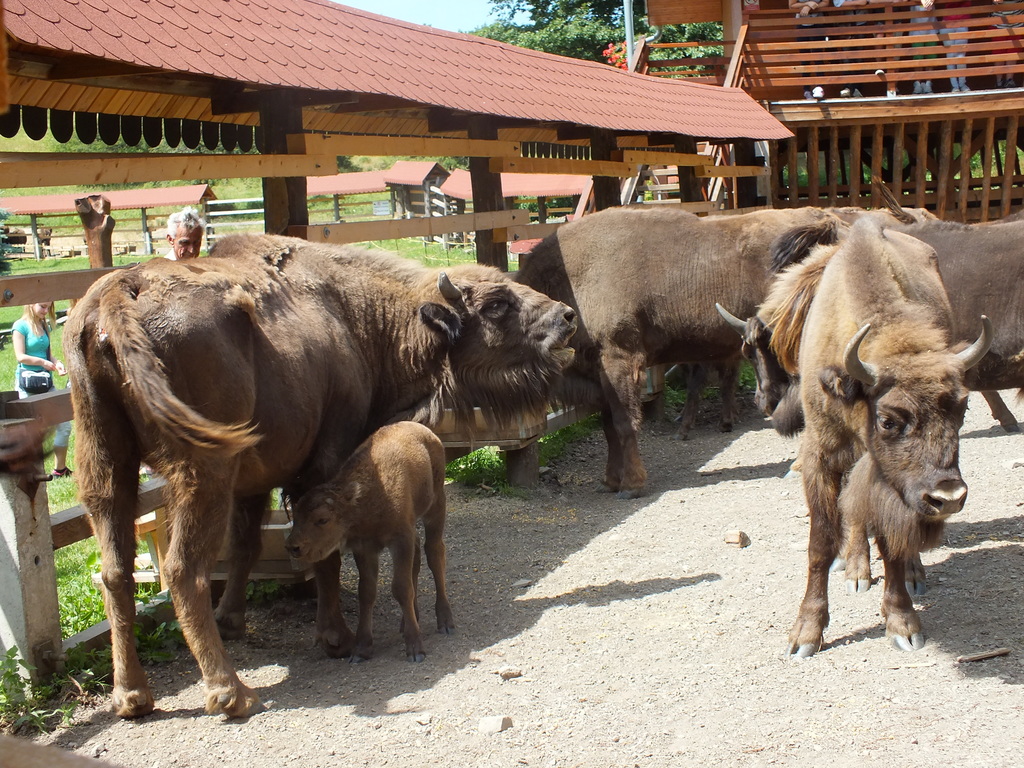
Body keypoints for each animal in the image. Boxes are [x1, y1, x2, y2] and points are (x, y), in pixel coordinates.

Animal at [286, 417, 450, 663]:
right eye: (295, 515)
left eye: (322, 519)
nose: (293, 546)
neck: (361, 499)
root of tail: (428, 433)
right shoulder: (365, 549)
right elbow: (366, 592)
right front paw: (361, 649)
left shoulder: (399, 539)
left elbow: (401, 588)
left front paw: (415, 649)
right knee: (418, 559)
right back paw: (408, 621)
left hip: (436, 504)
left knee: (434, 553)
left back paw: (446, 621)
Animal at [516, 204, 835, 499]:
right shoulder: (599, 373)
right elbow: (609, 427)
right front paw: (610, 482)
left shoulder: (619, 359)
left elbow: (623, 423)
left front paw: (631, 486)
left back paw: (797, 466)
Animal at [761, 218, 991, 663]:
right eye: (888, 420)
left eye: (963, 409)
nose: (949, 497)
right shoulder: (821, 459)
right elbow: (820, 544)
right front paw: (805, 635)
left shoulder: (890, 484)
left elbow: (891, 541)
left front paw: (903, 624)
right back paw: (856, 571)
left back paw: (913, 572)